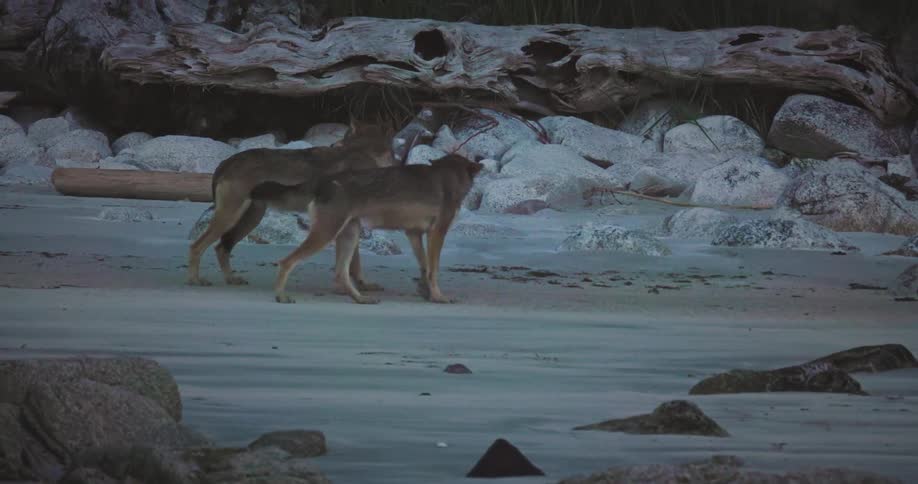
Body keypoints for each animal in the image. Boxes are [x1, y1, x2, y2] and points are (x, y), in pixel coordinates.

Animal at [187, 124, 397, 289]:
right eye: (393, 153)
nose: (398, 163)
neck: (361, 153)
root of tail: (226, 162)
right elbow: (355, 262)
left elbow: (350, 264)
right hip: (231, 217)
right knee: (197, 246)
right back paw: (196, 280)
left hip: (250, 219)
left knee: (222, 247)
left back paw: (231, 279)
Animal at [263, 154, 482, 305]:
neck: (451, 175)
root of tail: (323, 180)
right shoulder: (437, 233)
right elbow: (433, 270)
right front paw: (438, 296)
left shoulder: (414, 233)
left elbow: (424, 267)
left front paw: (425, 292)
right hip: (326, 235)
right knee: (286, 262)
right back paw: (280, 295)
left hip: (349, 236)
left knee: (341, 273)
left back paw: (361, 299)